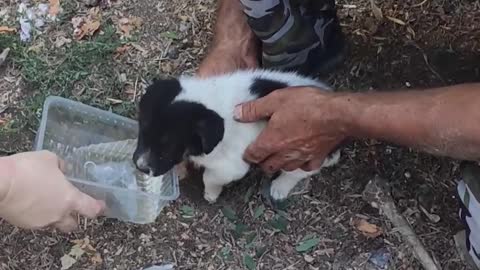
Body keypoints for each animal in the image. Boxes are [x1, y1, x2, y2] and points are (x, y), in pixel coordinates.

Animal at [133, 69, 340, 202]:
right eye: (142, 132)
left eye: (168, 145)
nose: (140, 167)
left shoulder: (231, 166)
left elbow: (210, 177)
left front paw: (211, 194)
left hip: (299, 153)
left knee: (298, 172)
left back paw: (280, 187)